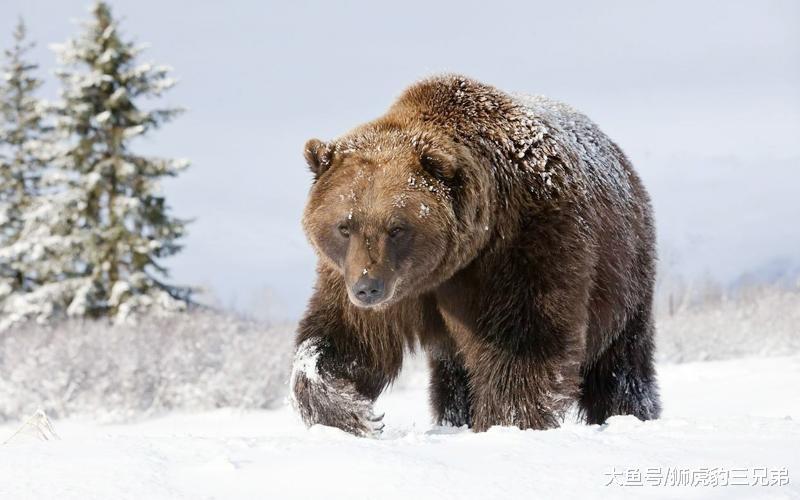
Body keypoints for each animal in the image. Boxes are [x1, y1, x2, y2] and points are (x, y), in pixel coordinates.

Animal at [290, 74, 660, 436]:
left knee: (621, 366)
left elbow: (522, 345)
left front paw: (507, 420)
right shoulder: (364, 281)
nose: (368, 288)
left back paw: (628, 412)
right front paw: (352, 412)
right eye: (344, 225)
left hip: (622, 276)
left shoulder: (520, 249)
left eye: (397, 227)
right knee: (453, 376)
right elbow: (347, 340)